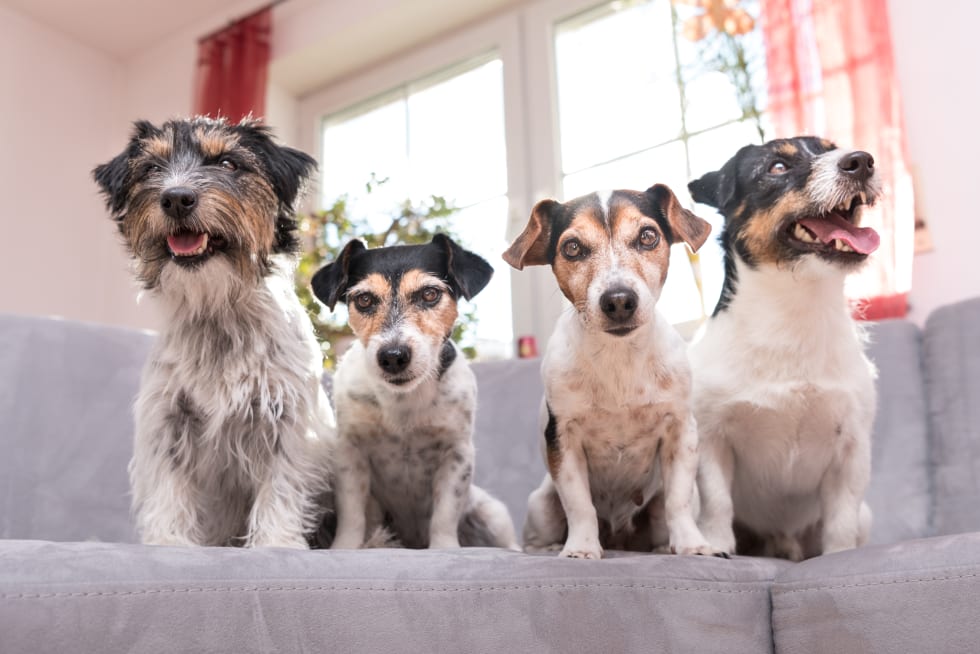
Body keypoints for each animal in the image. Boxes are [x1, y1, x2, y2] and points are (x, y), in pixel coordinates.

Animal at [506, 183, 728, 560]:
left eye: (648, 236)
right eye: (572, 247)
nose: (619, 300)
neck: (619, 357)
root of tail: (619, 538)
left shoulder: (681, 433)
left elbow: (679, 501)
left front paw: (692, 545)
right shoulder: (563, 439)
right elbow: (579, 504)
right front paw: (581, 548)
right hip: (542, 505)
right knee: (539, 533)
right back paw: (550, 547)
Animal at [688, 136, 880, 560]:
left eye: (833, 147)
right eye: (777, 167)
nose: (862, 161)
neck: (795, 309)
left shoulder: (851, 450)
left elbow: (841, 519)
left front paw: (840, 556)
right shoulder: (711, 441)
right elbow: (717, 502)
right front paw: (718, 547)